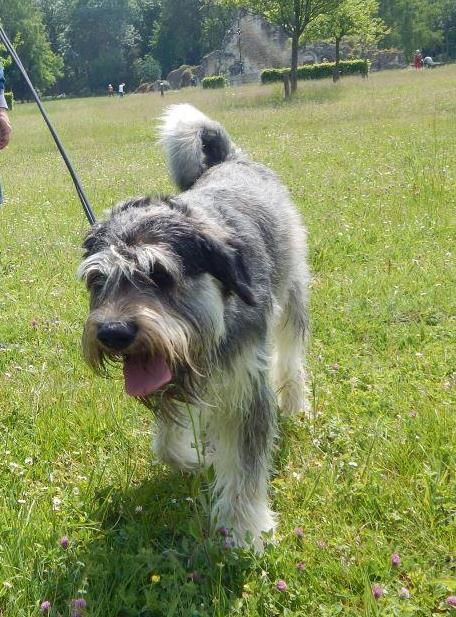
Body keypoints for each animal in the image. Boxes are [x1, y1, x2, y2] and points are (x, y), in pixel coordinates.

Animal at [78, 104, 309, 550]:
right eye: (97, 280)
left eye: (160, 274)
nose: (113, 332)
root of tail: (231, 159)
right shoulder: (171, 373)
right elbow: (169, 436)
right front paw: (190, 458)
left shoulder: (246, 387)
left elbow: (245, 468)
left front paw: (242, 528)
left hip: (292, 296)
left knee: (291, 355)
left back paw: (294, 401)